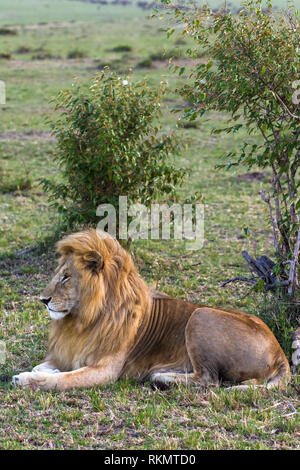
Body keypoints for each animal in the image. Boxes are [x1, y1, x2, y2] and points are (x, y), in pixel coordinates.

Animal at [12, 229, 290, 392]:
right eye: (58, 274)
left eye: (66, 277)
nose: (43, 300)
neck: (83, 319)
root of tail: (280, 353)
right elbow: (44, 366)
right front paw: (44, 370)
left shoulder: (105, 370)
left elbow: (59, 380)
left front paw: (23, 379)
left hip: (200, 316)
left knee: (209, 379)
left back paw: (162, 377)